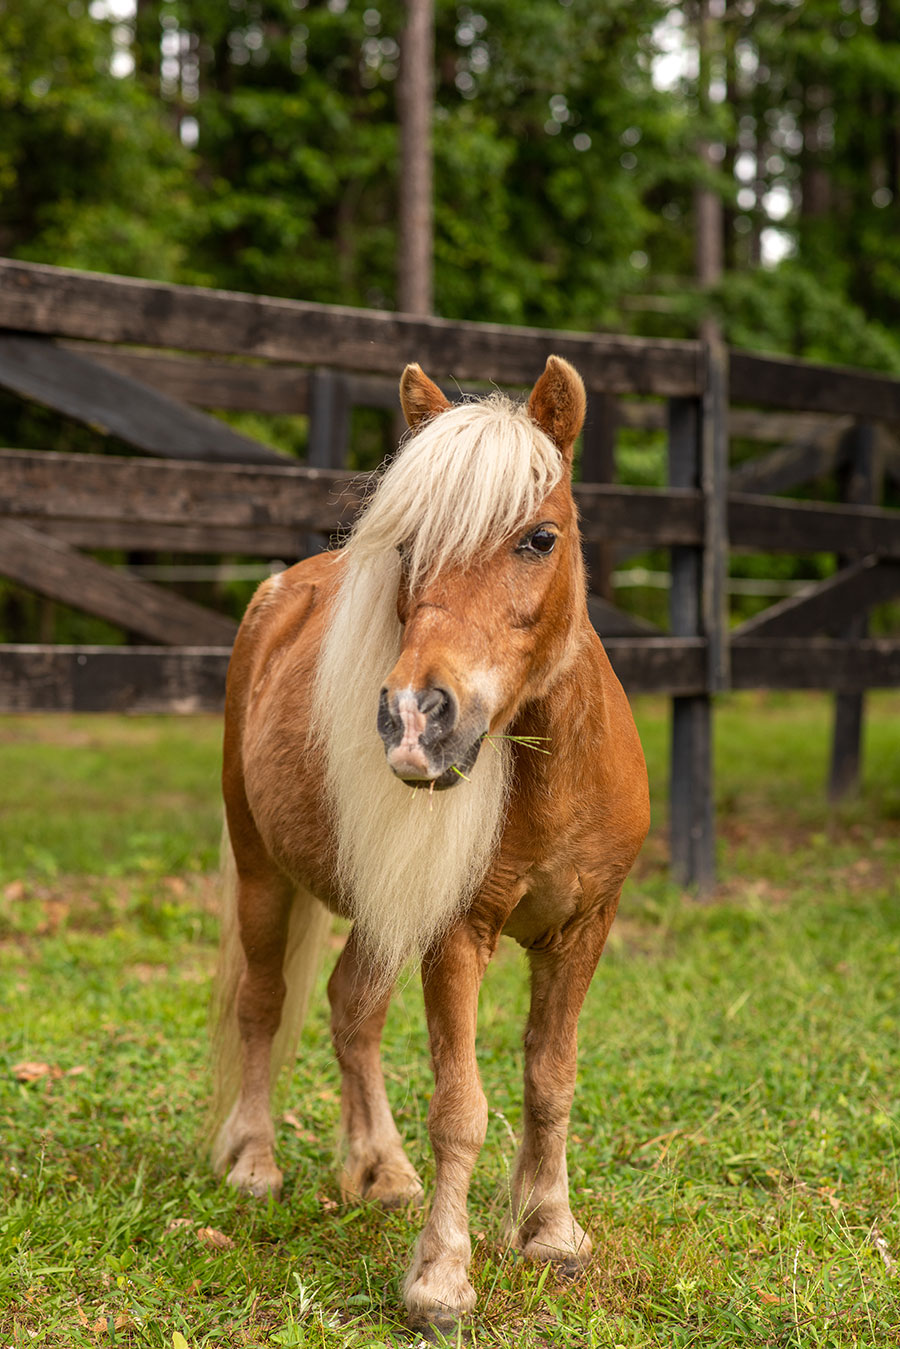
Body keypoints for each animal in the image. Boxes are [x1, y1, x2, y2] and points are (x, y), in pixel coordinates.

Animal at [211, 353, 647, 1332]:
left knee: (350, 1008)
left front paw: (550, 1230)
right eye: (407, 548)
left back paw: (382, 1170)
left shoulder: (585, 929)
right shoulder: (457, 937)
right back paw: (254, 1161)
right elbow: (462, 1106)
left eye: (538, 537)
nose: (415, 717)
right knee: (264, 1002)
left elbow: (551, 1079)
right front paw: (442, 1279)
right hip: (262, 875)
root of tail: (275, 593)